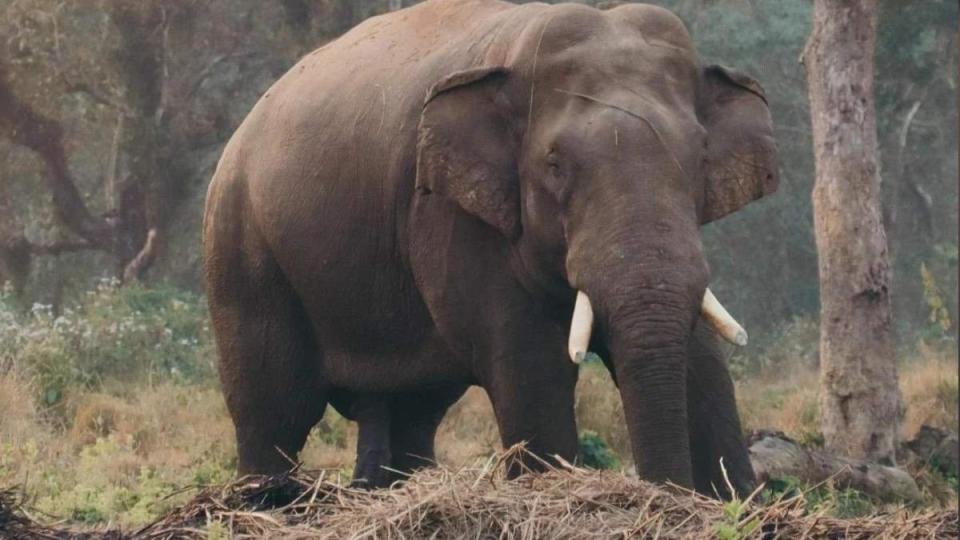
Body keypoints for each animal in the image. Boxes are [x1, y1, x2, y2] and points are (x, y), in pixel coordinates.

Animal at [199, 0, 776, 498]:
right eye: (554, 165)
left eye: (700, 154)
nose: (666, 491)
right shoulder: (450, 213)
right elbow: (530, 364)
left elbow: (702, 358)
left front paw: (730, 499)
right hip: (242, 249)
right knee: (275, 409)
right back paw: (264, 502)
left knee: (410, 410)